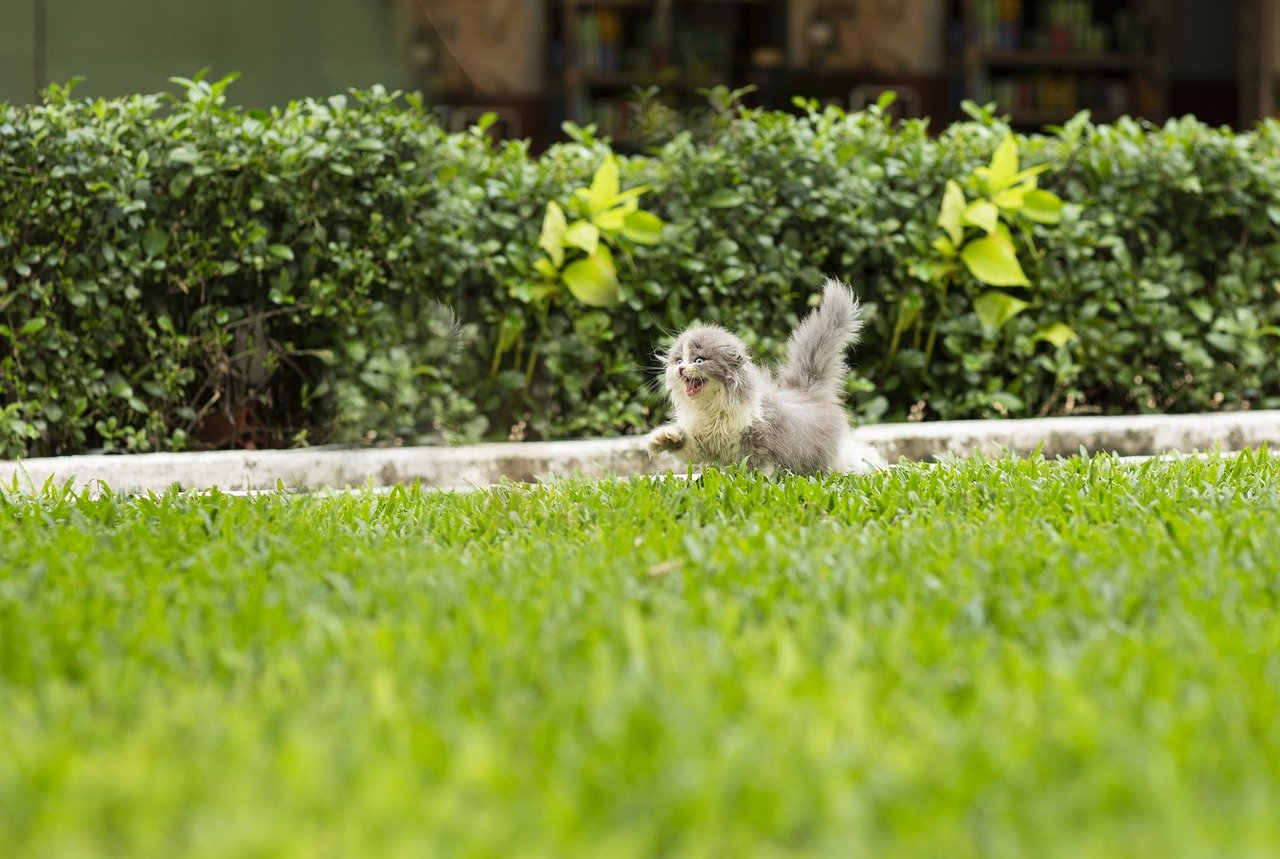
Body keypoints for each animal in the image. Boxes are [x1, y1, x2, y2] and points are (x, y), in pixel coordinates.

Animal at [645, 277, 885, 473]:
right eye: (678, 361)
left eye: (699, 361)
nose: (681, 369)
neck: (712, 408)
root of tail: (808, 390)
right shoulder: (703, 441)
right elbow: (687, 445)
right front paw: (663, 439)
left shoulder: (761, 442)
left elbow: (761, 470)